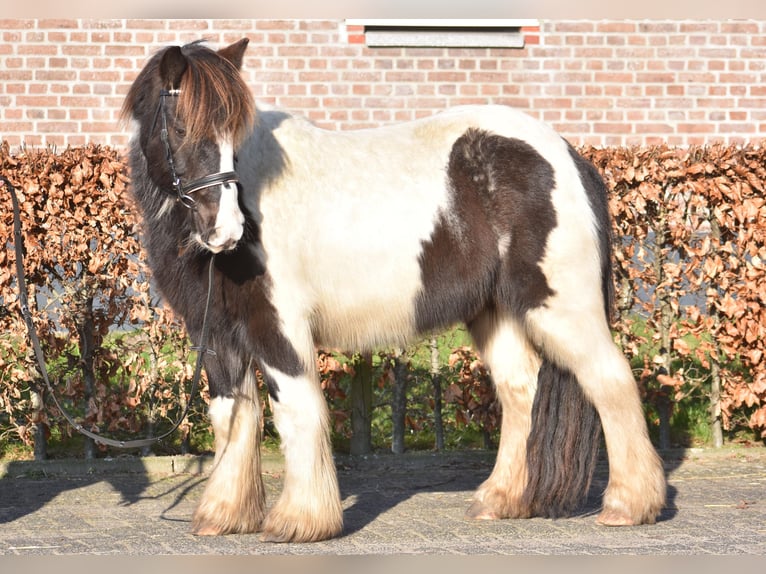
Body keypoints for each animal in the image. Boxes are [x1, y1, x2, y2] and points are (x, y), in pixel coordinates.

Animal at [120, 38, 664, 544]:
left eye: (233, 133)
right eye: (181, 128)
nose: (227, 228)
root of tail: (572, 158)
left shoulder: (277, 326)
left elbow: (294, 410)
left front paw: (300, 521)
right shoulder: (215, 333)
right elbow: (232, 416)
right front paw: (224, 516)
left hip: (560, 308)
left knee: (612, 383)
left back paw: (629, 506)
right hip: (497, 312)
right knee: (521, 390)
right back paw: (502, 500)